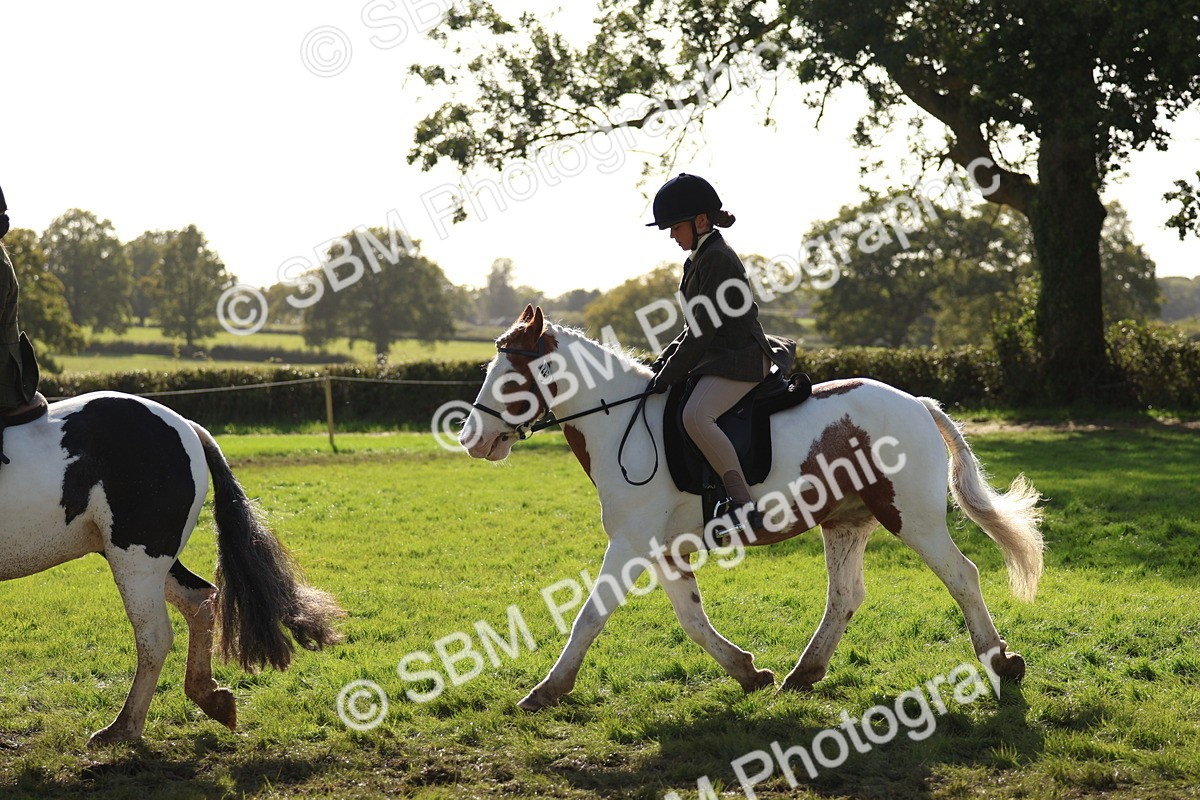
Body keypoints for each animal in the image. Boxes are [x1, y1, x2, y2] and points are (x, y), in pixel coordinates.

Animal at [0, 391, 344, 745]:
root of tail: (186, 427)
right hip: (141, 559)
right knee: (200, 600)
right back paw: (209, 697)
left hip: (137, 559)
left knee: (155, 637)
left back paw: (123, 728)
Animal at [461, 306, 1043, 710]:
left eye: (509, 377)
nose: (471, 439)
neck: (622, 424)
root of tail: (917, 403)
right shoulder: (662, 549)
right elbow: (691, 619)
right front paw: (747, 672)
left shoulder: (629, 544)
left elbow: (590, 615)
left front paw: (546, 690)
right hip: (846, 520)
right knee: (845, 596)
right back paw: (802, 676)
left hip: (912, 518)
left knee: (961, 576)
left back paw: (1002, 663)